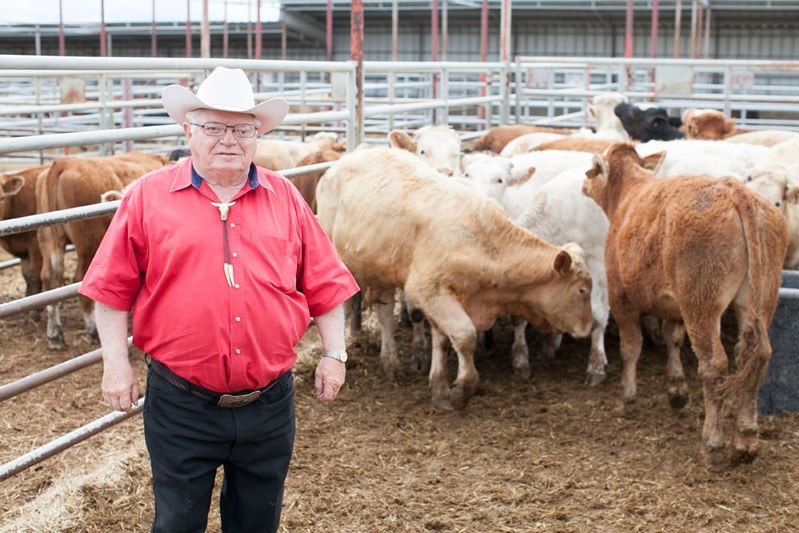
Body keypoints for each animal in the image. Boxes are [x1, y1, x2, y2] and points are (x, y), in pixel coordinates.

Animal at [584, 143, 792, 468]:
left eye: (593, 169)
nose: (584, 181)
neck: (629, 195)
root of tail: (736, 193)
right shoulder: (673, 304)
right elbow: (672, 337)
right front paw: (676, 389)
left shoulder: (621, 297)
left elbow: (631, 348)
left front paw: (627, 398)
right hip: (759, 298)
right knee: (757, 355)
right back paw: (745, 440)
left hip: (701, 304)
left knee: (714, 364)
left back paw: (712, 443)